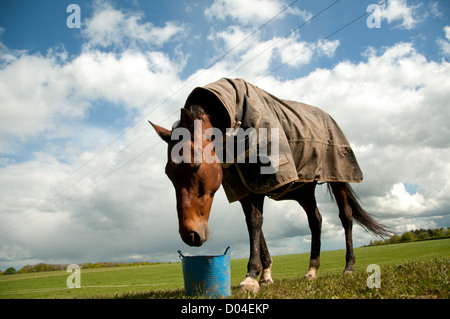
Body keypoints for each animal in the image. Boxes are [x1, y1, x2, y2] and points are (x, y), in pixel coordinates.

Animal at [150, 81, 390, 294]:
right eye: (168, 174)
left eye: (195, 166)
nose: (189, 234)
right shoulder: (246, 188)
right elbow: (256, 225)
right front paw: (264, 276)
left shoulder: (261, 179)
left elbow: (255, 224)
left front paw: (250, 277)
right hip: (305, 190)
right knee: (316, 221)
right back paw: (312, 270)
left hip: (338, 178)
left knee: (345, 217)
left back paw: (348, 267)